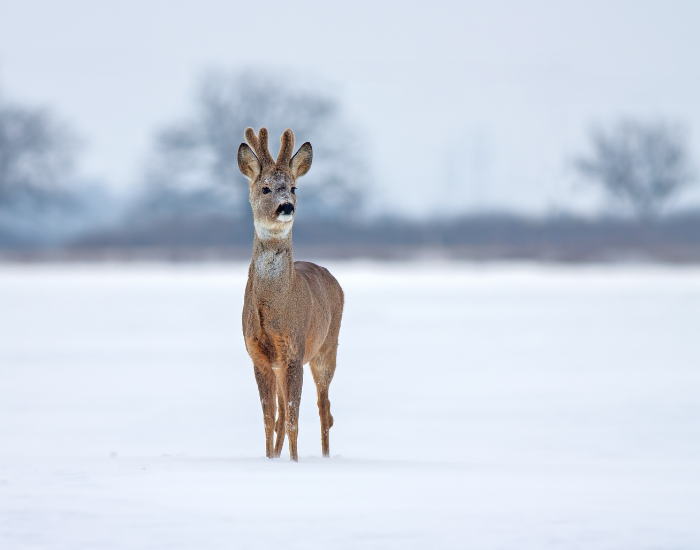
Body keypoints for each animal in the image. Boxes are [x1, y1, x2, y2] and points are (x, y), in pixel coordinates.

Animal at [237, 127, 344, 462]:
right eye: (266, 188)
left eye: (294, 188)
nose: (286, 206)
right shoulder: (258, 354)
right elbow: (270, 416)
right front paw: (270, 459)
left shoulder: (295, 349)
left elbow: (295, 417)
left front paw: (294, 463)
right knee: (285, 411)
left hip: (327, 348)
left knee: (324, 408)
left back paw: (325, 457)